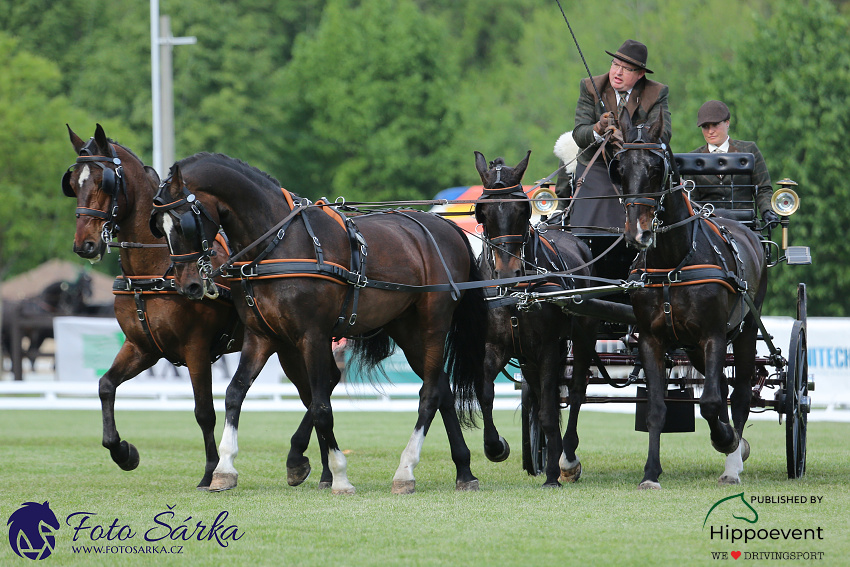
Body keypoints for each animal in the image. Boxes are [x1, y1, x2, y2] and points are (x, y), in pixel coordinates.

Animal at [61, 124, 243, 488]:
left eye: (103, 182)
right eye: (73, 183)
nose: (84, 245)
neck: (158, 267)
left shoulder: (196, 347)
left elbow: (204, 411)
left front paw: (210, 470)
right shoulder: (143, 347)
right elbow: (105, 386)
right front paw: (123, 452)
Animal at [151, 153, 484, 494]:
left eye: (182, 223)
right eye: (158, 227)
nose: (188, 285)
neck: (278, 245)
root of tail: (446, 226)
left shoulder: (312, 335)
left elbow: (322, 406)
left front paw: (339, 475)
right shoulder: (262, 336)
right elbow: (235, 392)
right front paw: (225, 468)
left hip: (432, 325)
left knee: (429, 394)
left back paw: (406, 470)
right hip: (406, 330)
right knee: (442, 388)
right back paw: (464, 470)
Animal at [474, 151, 600, 488]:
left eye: (521, 209)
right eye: (483, 212)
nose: (509, 272)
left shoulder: (547, 347)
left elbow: (547, 411)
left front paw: (554, 474)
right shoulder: (493, 347)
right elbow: (486, 396)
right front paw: (495, 446)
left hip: (583, 336)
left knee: (577, 391)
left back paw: (567, 457)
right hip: (527, 357)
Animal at [608, 111, 760, 488]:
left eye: (656, 167)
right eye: (620, 168)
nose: (637, 233)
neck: (673, 261)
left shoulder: (714, 335)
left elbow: (710, 403)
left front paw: (727, 441)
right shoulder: (651, 339)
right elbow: (657, 408)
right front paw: (650, 472)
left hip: (745, 331)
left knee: (738, 394)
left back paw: (733, 462)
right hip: (692, 347)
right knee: (722, 387)